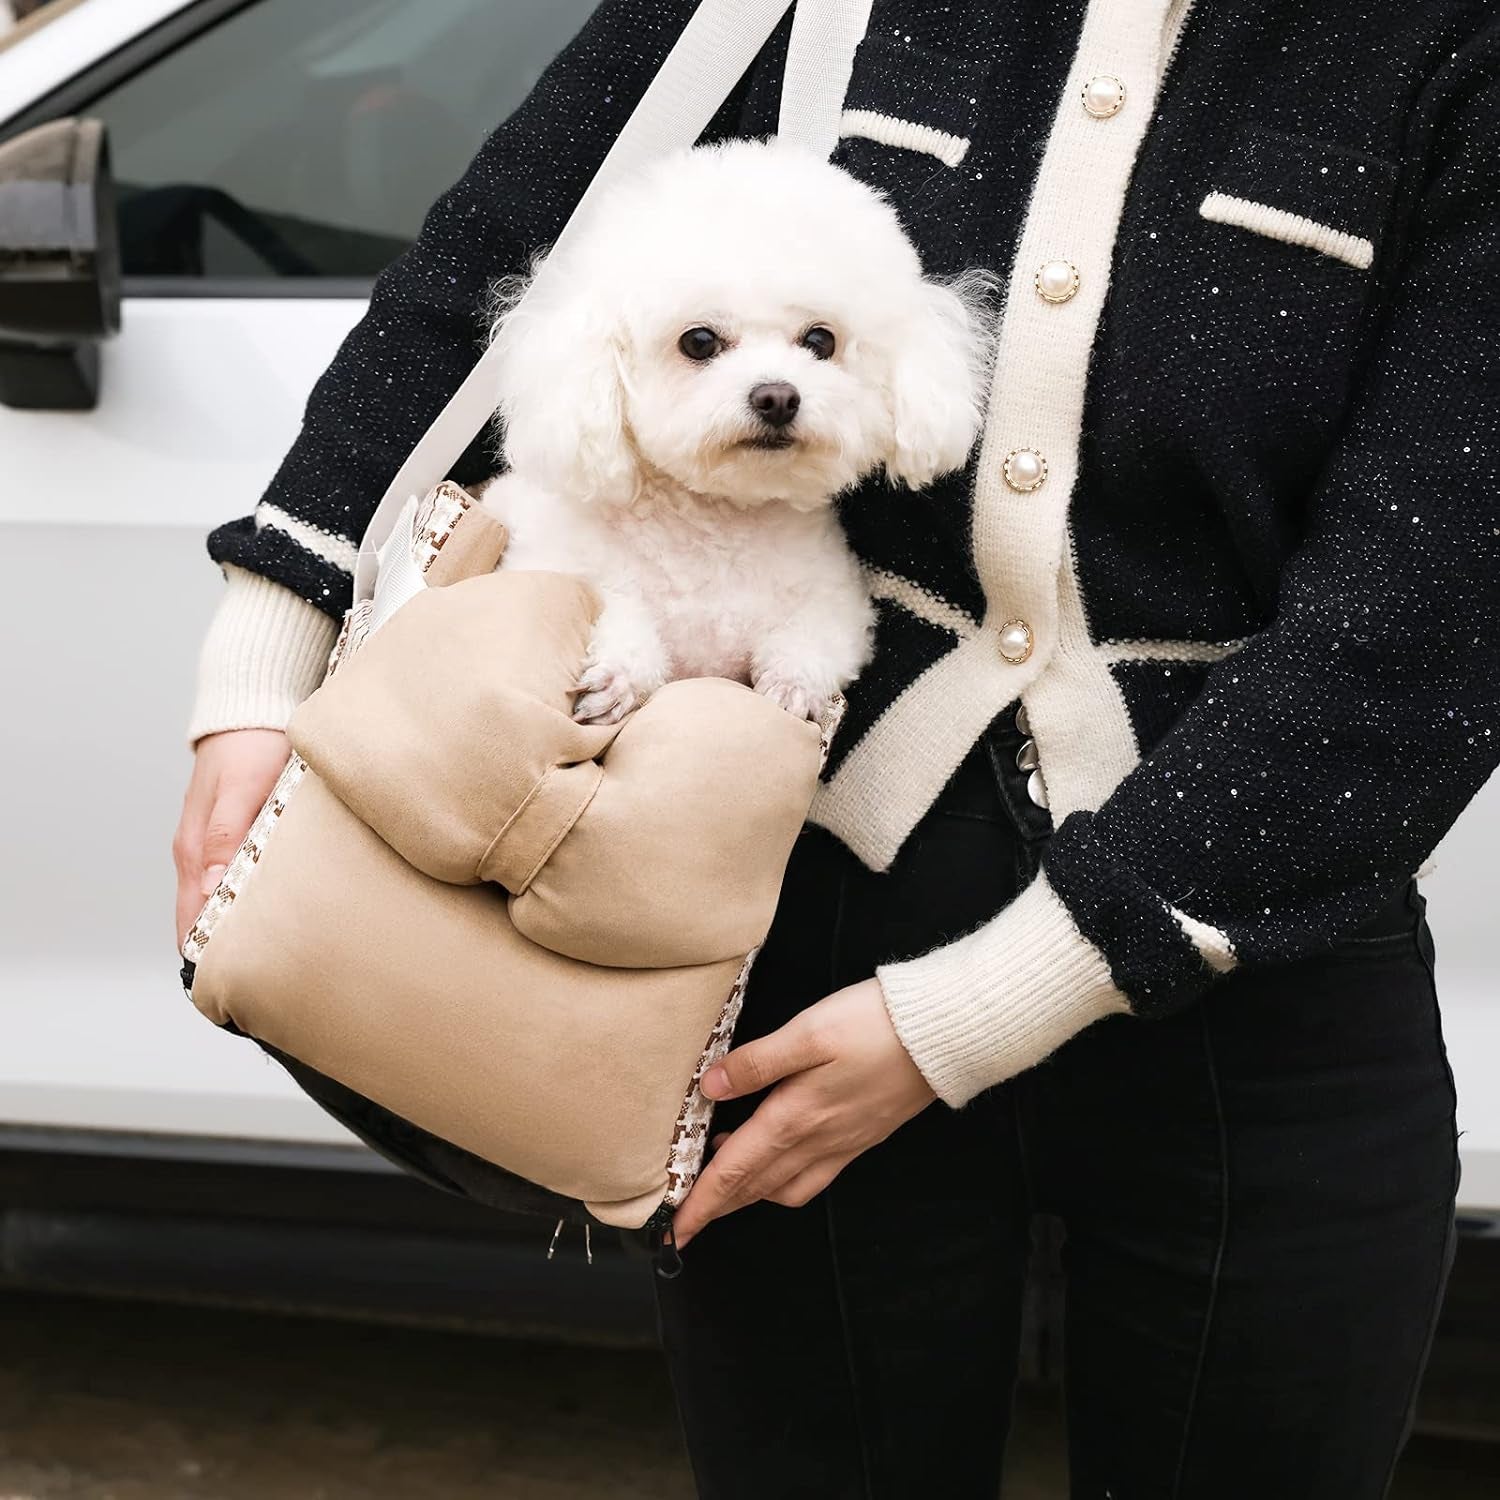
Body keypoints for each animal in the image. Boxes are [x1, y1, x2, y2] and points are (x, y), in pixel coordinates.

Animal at [480, 141, 990, 726]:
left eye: (821, 340)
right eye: (699, 341)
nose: (778, 398)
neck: (720, 528)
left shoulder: (836, 605)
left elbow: (813, 643)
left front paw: (792, 687)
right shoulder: (545, 563)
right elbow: (613, 607)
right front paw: (621, 672)